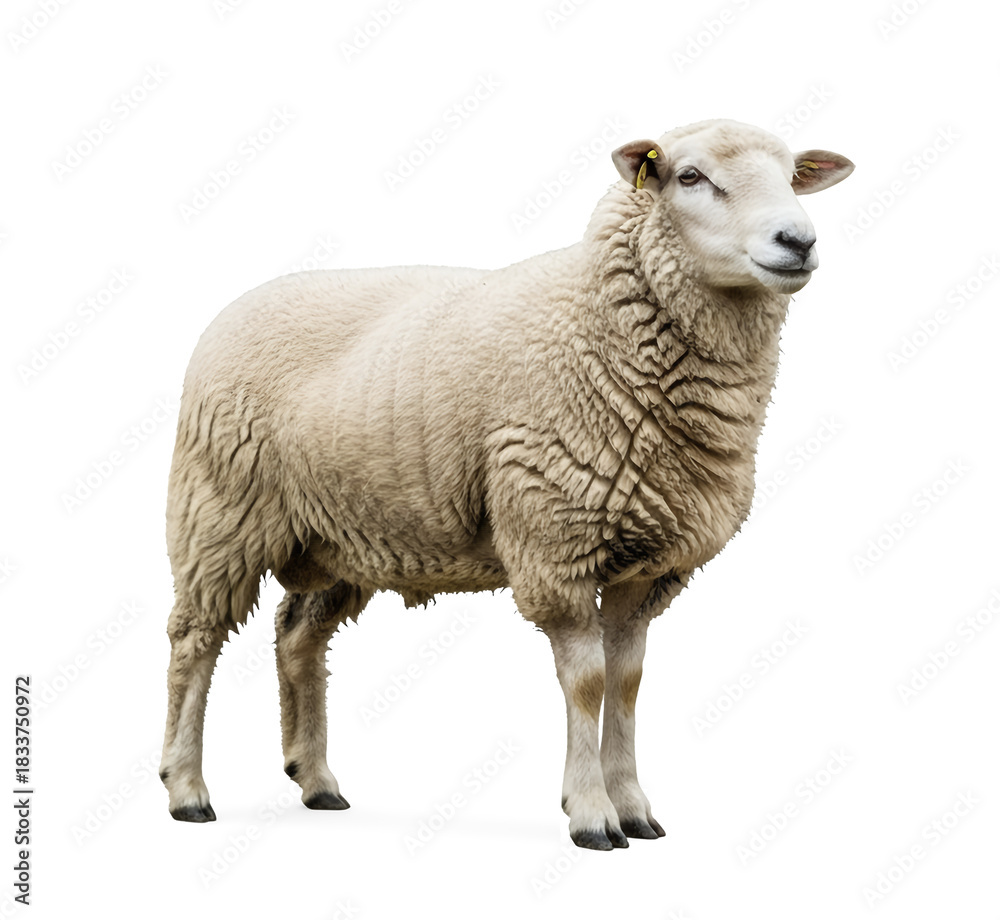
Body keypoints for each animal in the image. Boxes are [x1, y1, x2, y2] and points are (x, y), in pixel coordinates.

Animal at [159, 118, 853, 849]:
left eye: (791, 175)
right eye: (690, 176)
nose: (798, 240)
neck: (599, 321)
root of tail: (237, 306)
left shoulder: (646, 564)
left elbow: (627, 682)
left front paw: (634, 806)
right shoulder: (555, 543)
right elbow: (587, 682)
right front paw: (591, 814)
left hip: (341, 532)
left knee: (297, 637)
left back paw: (316, 780)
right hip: (219, 513)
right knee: (194, 642)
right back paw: (186, 789)